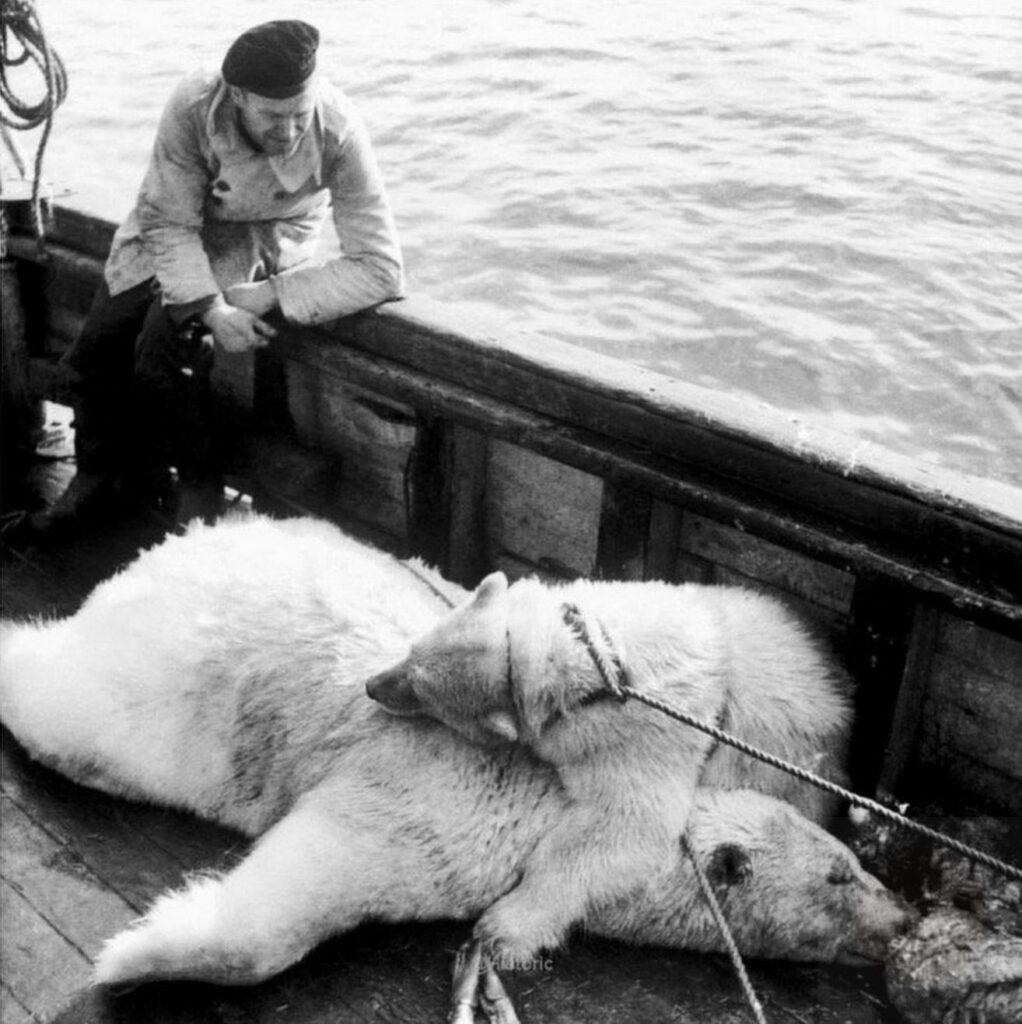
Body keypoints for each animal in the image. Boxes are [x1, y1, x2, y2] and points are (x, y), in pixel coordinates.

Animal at [365, 568, 852, 963]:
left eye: (417, 688)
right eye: (411, 651)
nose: (372, 685)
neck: (598, 665)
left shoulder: (646, 739)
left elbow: (627, 827)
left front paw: (504, 929)